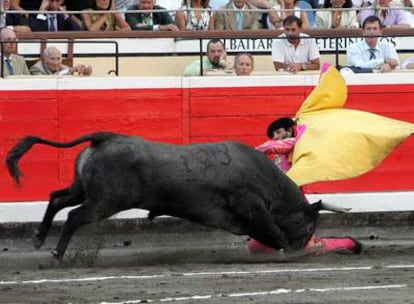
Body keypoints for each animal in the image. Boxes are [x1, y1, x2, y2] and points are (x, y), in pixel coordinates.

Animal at [7, 132, 334, 260]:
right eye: (309, 226)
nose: (306, 244)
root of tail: (106, 137)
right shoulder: (253, 208)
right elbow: (274, 231)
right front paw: (293, 253)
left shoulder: (244, 220)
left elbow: (268, 233)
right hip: (104, 202)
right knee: (74, 216)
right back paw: (57, 254)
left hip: (82, 190)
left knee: (57, 198)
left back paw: (39, 238)